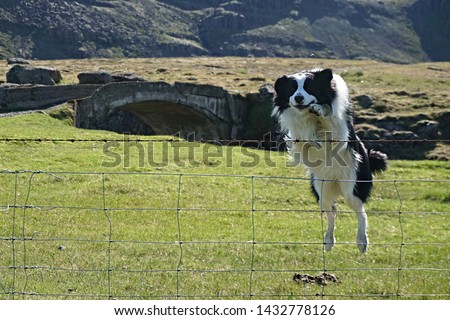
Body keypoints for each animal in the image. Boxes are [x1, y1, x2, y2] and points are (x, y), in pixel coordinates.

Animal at [270, 68, 386, 252]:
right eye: (292, 89)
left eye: (309, 87)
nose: (298, 98)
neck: (309, 116)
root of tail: (336, 182)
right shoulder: (298, 133)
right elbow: (304, 140)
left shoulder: (340, 131)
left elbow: (329, 121)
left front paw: (319, 109)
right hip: (321, 188)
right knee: (331, 213)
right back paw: (328, 241)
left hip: (352, 184)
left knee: (361, 212)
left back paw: (362, 241)